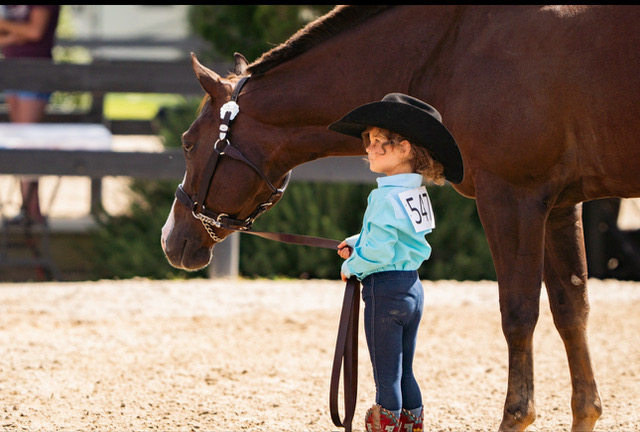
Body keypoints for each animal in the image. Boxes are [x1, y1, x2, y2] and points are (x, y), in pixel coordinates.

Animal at [162, 5, 640, 432]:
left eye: (187, 142)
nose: (171, 239)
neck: (454, 47)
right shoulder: (560, 204)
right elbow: (571, 310)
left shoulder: (512, 196)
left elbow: (519, 313)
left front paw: (516, 416)